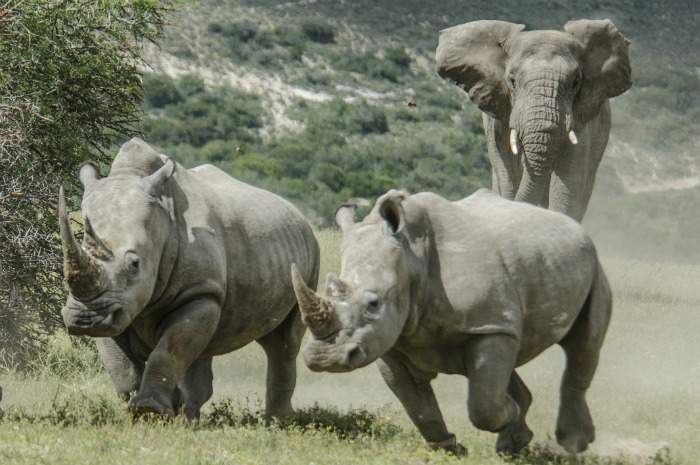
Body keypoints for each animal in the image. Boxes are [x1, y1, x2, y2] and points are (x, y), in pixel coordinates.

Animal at [434, 19, 632, 220]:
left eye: (575, 83)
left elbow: (568, 186)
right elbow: (509, 181)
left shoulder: (583, 121)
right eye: (512, 81)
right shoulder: (496, 124)